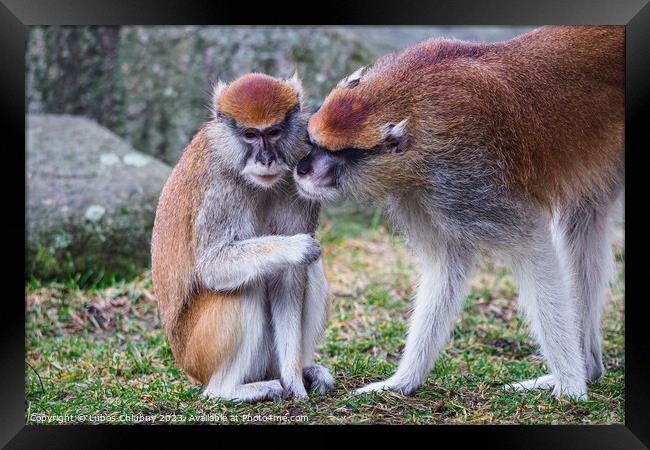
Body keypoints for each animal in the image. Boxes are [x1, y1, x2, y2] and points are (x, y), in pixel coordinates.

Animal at [151, 72, 334, 402]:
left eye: (273, 132)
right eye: (250, 135)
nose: (266, 159)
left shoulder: (296, 180)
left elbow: (290, 278)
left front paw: (295, 381)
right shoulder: (220, 191)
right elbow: (213, 266)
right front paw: (294, 247)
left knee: (308, 269)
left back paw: (304, 370)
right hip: (198, 352)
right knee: (245, 285)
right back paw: (228, 390)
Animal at [292, 27, 620, 400]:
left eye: (335, 153)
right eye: (313, 143)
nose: (303, 169)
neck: (414, 108)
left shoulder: (466, 178)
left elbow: (532, 249)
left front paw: (570, 388)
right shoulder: (418, 193)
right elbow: (447, 264)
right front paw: (401, 381)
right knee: (583, 220)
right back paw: (590, 367)